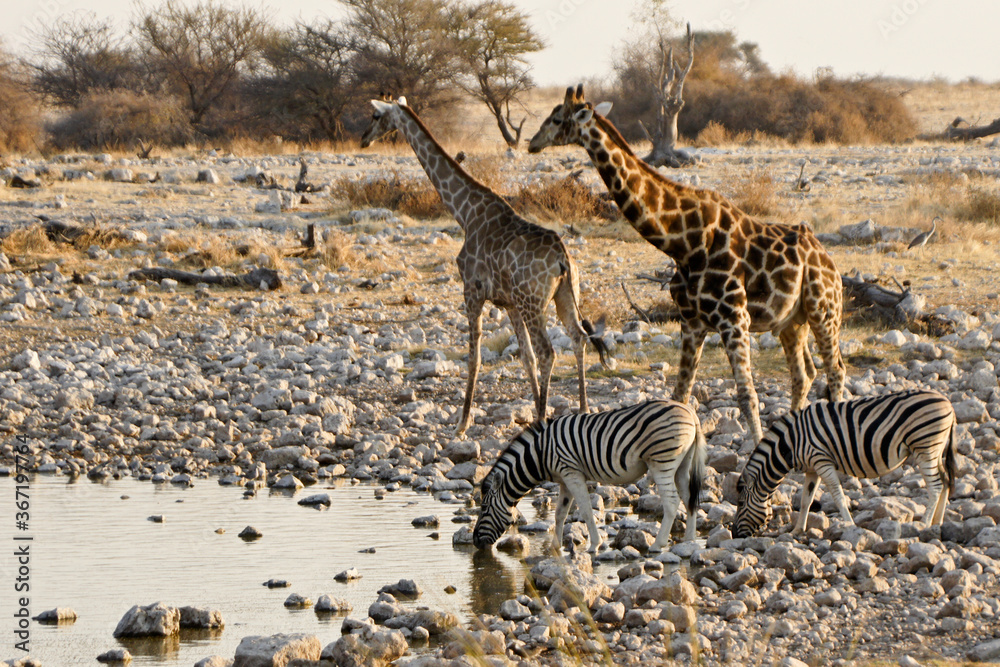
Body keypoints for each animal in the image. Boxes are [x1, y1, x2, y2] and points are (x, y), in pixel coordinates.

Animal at [361, 97, 608, 435]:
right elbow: (525, 358)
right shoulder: (509, 303)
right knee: (577, 339)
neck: (464, 212)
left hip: (534, 303)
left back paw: (546, 420)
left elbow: (474, 357)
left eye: (375, 115)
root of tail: (563, 258)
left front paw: (462, 423)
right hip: (565, 297)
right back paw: (582, 410)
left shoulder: (472, 290)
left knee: (548, 351)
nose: (363, 139)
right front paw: (533, 411)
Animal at [473, 400, 706, 553]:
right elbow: (560, 513)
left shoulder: (571, 472)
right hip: (682, 464)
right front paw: (555, 546)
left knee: (672, 501)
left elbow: (584, 509)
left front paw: (594, 545)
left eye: (484, 508)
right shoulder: (564, 479)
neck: (540, 454)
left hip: (662, 462)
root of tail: (690, 412)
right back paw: (689, 541)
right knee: (689, 498)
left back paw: (658, 545)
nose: (475, 542)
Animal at [528, 85, 845, 444]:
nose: (532, 143)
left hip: (823, 309)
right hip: (793, 321)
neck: (684, 242)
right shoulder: (692, 322)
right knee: (804, 374)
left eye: (557, 118)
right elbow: (680, 396)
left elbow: (747, 396)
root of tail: (827, 259)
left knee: (835, 370)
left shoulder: (734, 318)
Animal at [733, 389, 958, 539]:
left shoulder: (822, 461)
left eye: (741, 503)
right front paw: (797, 530)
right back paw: (938, 522)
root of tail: (948, 402)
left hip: (925, 447)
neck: (792, 441)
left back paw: (924, 524)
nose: (735, 535)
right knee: (946, 481)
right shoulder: (812, 468)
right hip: (935, 450)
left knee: (935, 486)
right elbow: (806, 499)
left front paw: (849, 526)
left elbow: (838, 495)